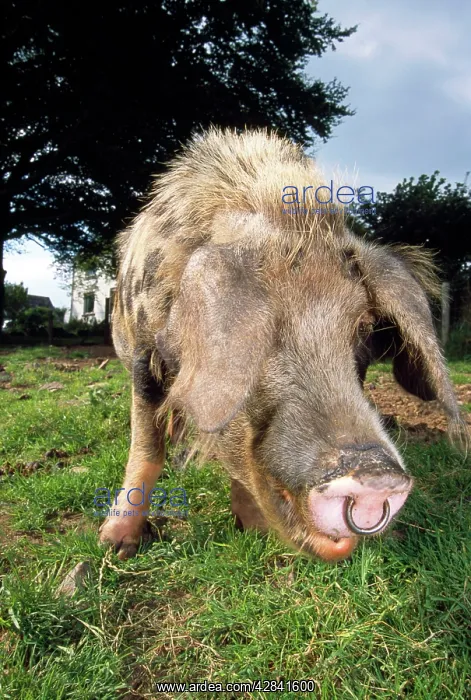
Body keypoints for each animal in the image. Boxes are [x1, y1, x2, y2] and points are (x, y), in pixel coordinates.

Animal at [99, 128, 469, 561]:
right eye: (259, 328)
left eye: (362, 327)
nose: (375, 474)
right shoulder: (144, 354)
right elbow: (146, 450)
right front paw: (115, 546)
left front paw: (253, 530)